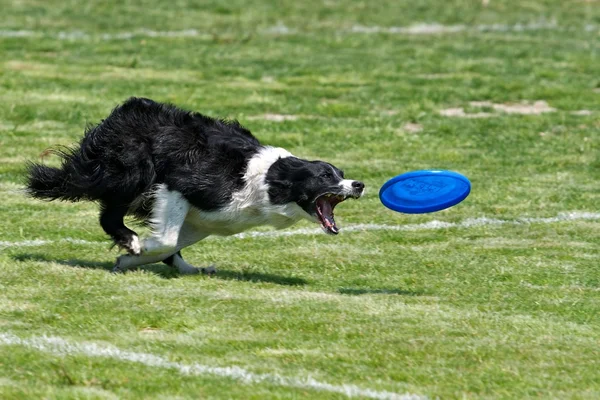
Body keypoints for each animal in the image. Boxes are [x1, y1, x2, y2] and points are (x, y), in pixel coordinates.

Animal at [24, 97, 366, 274]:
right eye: (325, 176)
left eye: (341, 172)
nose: (359, 184)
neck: (266, 179)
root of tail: (124, 111)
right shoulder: (178, 186)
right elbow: (165, 240)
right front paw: (138, 249)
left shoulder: (210, 218)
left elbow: (174, 242)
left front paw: (131, 259)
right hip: (132, 172)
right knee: (108, 213)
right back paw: (131, 240)